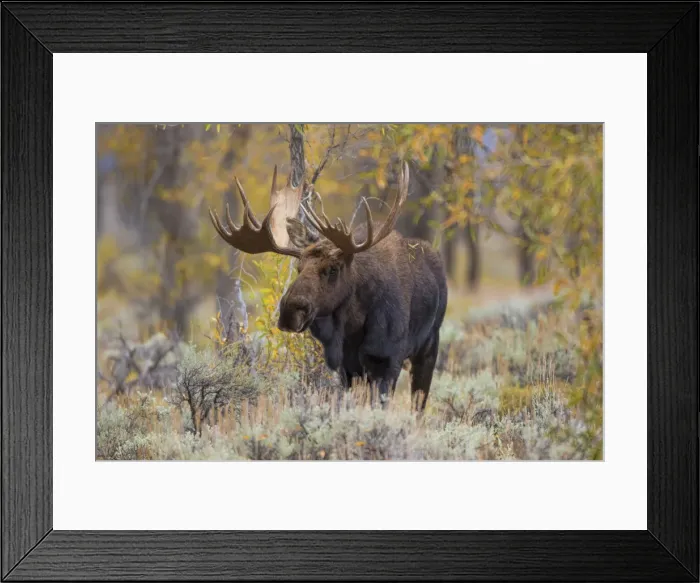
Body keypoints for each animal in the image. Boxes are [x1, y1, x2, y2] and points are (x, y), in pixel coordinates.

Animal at [209, 162, 447, 411]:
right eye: (299, 268)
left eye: (333, 269)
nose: (289, 311)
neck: (352, 327)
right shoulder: (347, 367)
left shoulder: (389, 360)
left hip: (429, 346)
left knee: (419, 403)